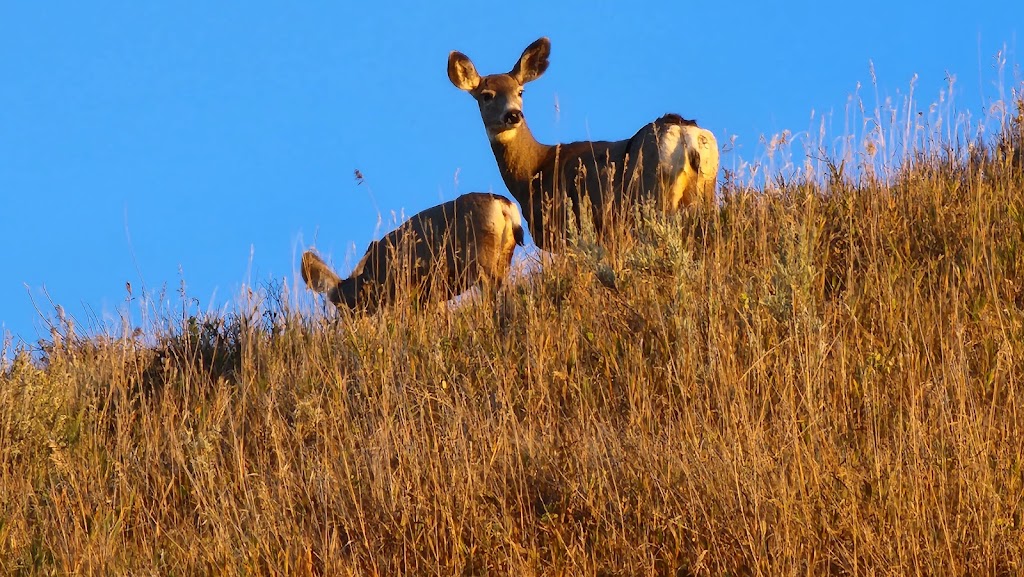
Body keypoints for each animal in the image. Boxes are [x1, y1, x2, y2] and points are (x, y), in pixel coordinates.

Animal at [448, 37, 720, 251]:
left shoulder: (564, 231)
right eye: (486, 95)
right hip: (705, 190)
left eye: (520, 91)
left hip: (652, 193)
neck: (533, 170)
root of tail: (686, 134)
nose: (513, 115)